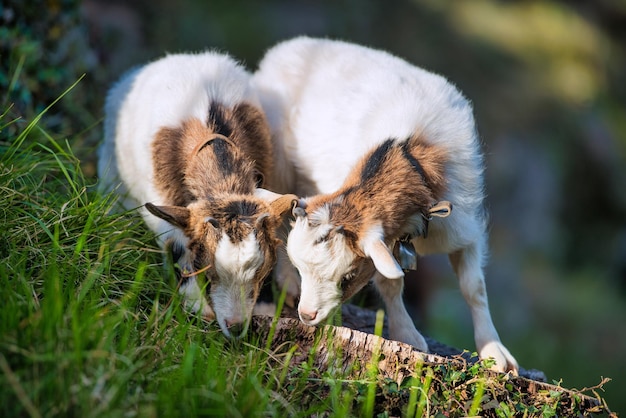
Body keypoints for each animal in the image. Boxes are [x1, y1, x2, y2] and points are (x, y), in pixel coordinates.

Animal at [98, 50, 298, 338]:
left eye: (261, 272)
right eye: (209, 272)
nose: (236, 327)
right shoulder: (165, 209)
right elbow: (177, 245)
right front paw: (197, 305)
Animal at [251, 37, 520, 374]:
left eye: (348, 277)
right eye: (303, 268)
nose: (307, 316)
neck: (408, 152)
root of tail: (288, 46)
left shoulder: (464, 228)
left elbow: (475, 288)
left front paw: (495, 353)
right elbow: (391, 283)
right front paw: (408, 334)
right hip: (279, 160)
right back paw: (288, 286)